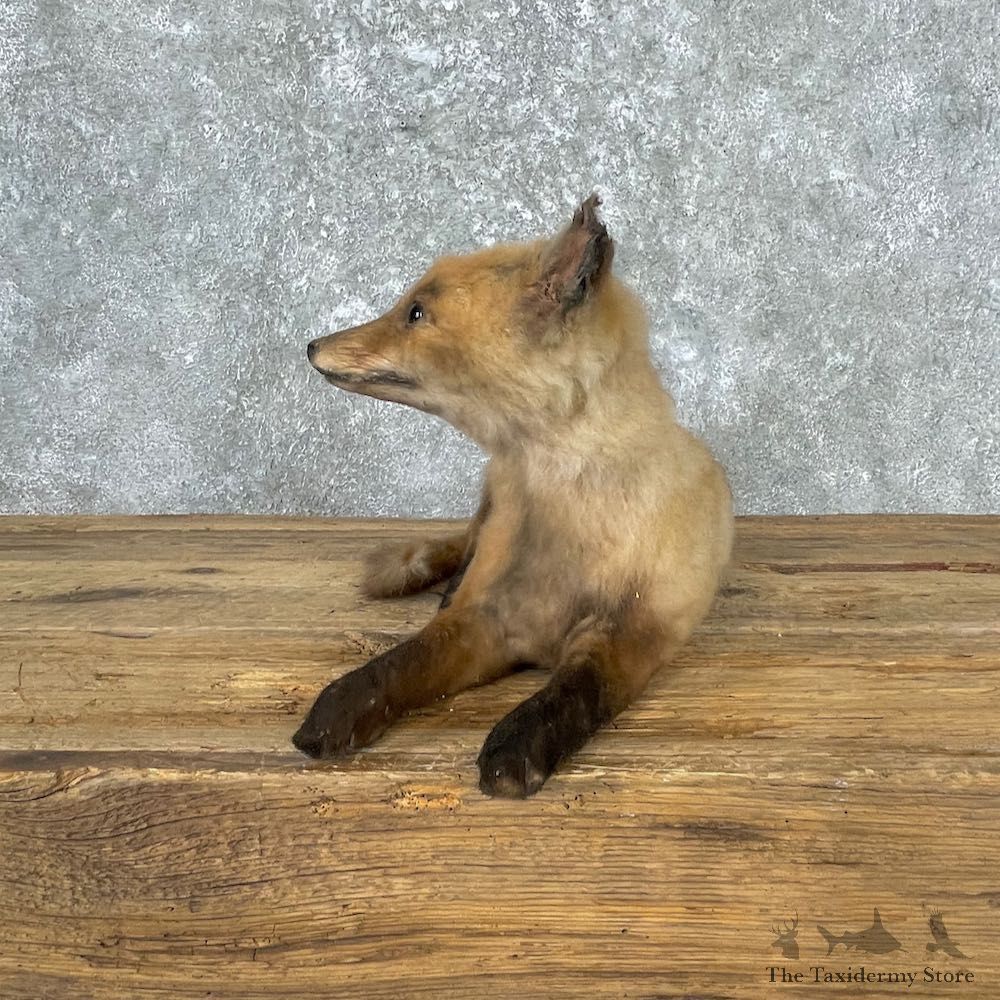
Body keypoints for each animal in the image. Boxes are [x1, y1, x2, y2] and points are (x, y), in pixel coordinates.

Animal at [293, 193, 734, 798]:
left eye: (415, 312)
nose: (311, 345)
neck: (566, 530)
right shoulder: (486, 620)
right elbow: (397, 664)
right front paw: (335, 711)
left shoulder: (634, 633)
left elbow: (576, 692)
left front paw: (516, 745)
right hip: (487, 502)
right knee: (461, 548)